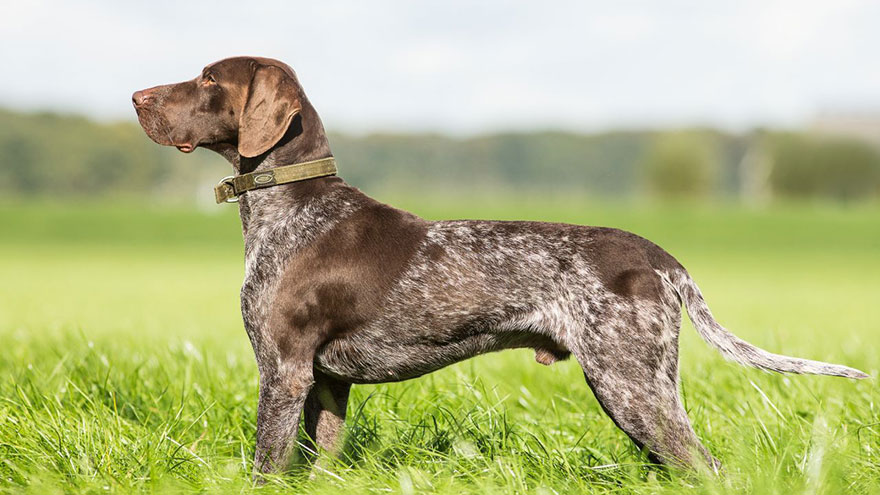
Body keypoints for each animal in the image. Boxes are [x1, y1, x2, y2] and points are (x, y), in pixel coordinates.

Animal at [131, 56, 868, 478]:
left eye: (209, 80)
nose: (137, 96)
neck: (290, 207)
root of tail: (660, 257)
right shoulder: (326, 384)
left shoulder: (282, 372)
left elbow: (266, 466)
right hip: (643, 388)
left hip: (631, 385)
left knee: (707, 467)